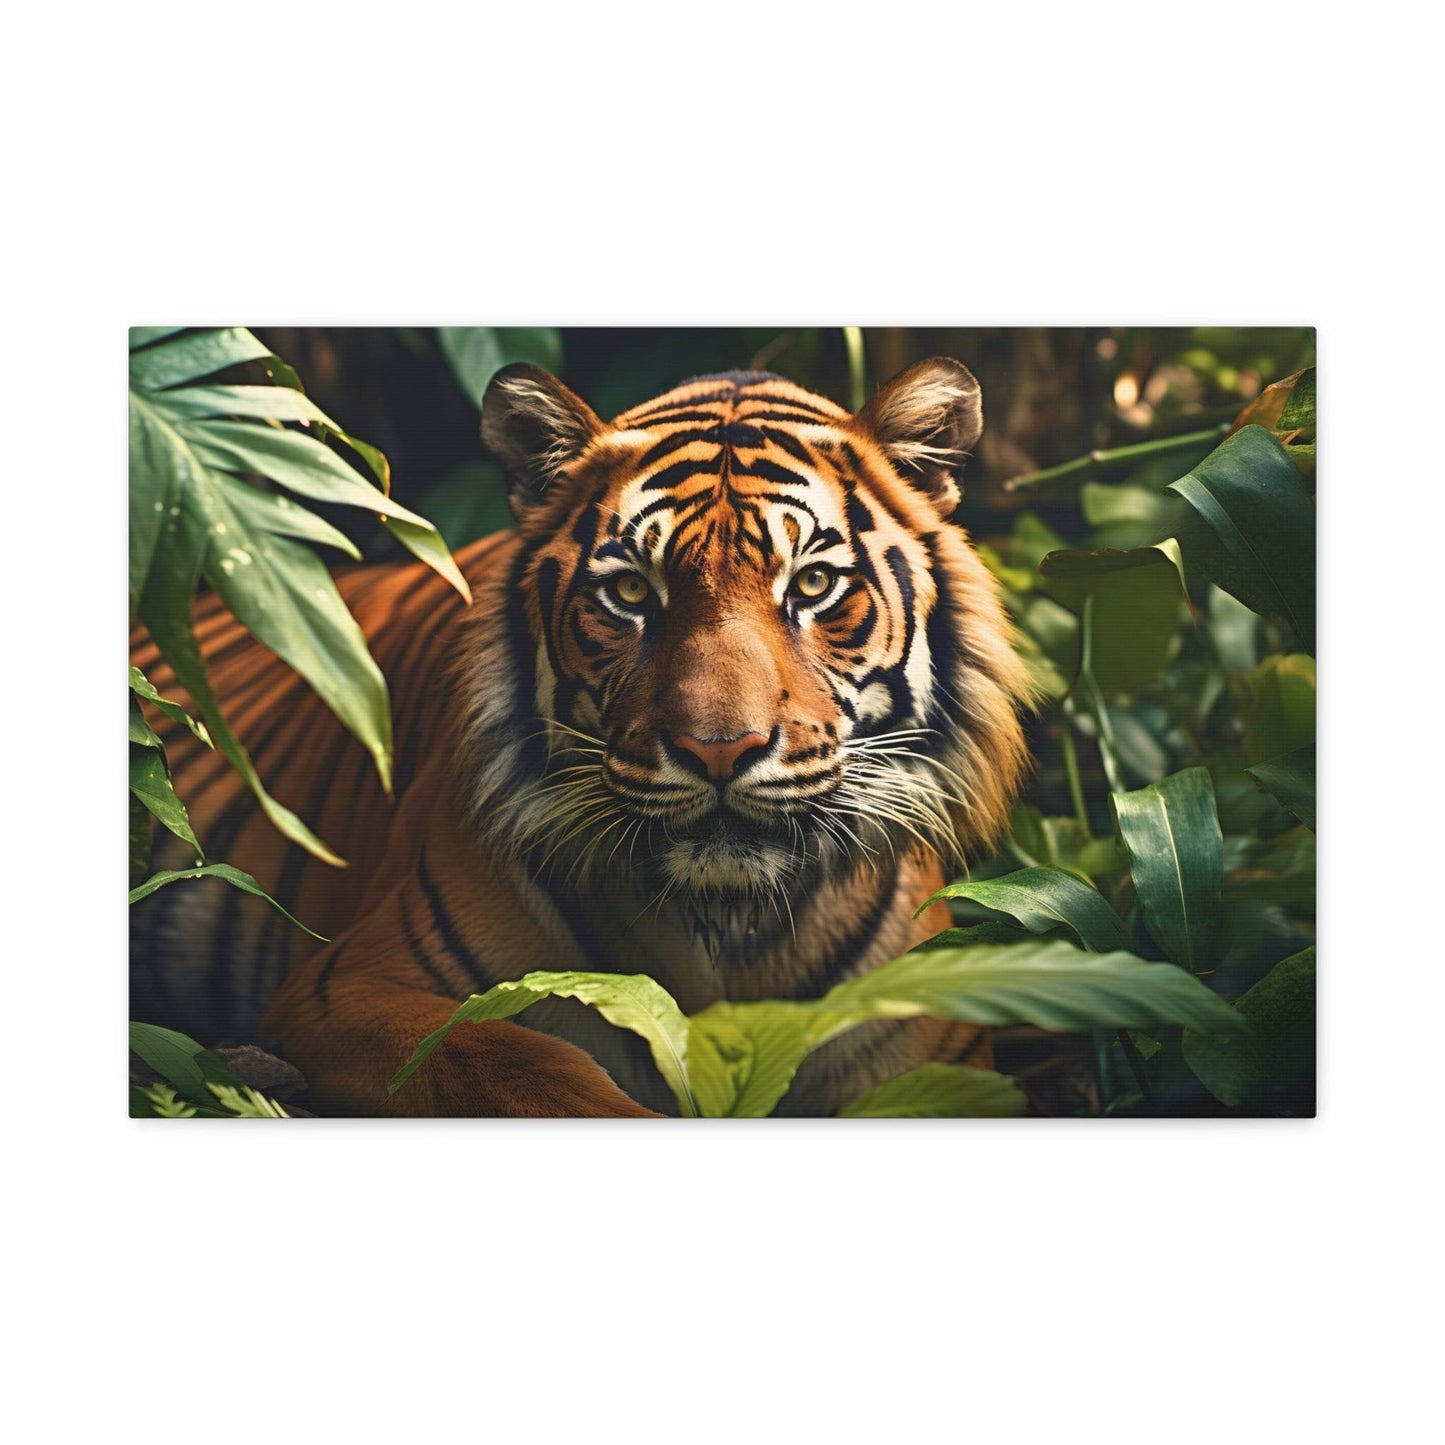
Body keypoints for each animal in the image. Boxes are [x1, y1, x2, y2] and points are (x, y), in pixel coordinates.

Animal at [130, 357, 1034, 1116]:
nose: (717, 749)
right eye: (631, 592)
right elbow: (515, 1063)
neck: (723, 928)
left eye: (812, 584)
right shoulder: (349, 986)